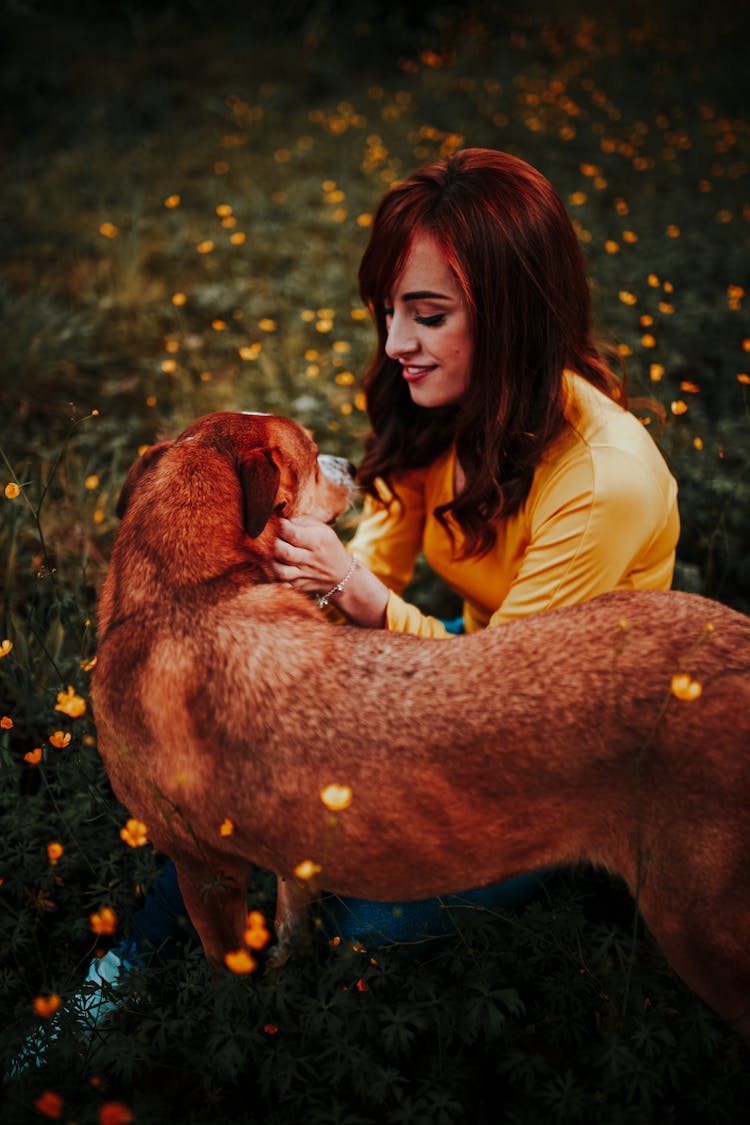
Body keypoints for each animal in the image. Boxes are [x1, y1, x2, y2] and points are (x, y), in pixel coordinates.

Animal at [92, 409, 750, 1030]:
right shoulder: (278, 850)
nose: (351, 464)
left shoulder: (203, 868)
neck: (187, 586)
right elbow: (288, 923)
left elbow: (229, 976)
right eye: (313, 455)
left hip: (702, 934)